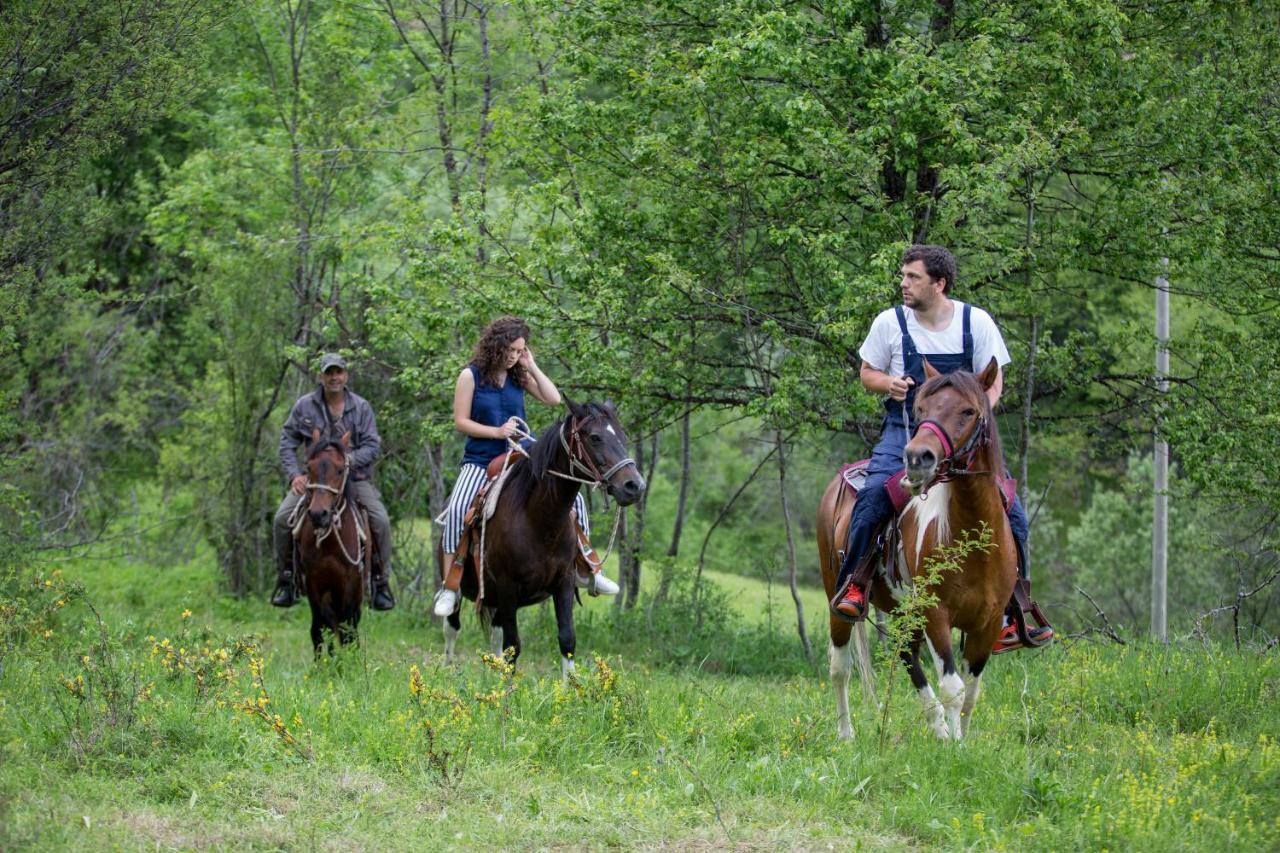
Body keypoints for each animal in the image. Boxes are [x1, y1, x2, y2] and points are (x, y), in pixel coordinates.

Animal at [291, 427, 368, 653]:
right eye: (309, 467)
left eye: (341, 469)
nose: (319, 514)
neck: (330, 542)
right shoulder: (314, 582)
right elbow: (320, 628)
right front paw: (326, 660)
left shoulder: (349, 583)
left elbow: (346, 629)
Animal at [442, 399, 645, 676]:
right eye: (595, 437)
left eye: (622, 436)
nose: (635, 486)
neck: (540, 520)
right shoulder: (507, 586)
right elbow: (513, 645)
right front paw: (508, 687)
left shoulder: (564, 582)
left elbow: (567, 639)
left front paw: (571, 685)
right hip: (465, 590)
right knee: (452, 626)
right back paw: (447, 669)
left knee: (495, 635)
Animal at [819, 356, 1018, 737]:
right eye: (920, 408)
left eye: (968, 411)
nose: (916, 458)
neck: (972, 544)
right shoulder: (936, 615)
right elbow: (953, 689)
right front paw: (955, 746)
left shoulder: (987, 623)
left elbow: (971, 693)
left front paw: (960, 740)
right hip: (836, 595)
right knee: (840, 667)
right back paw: (846, 735)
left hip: (903, 612)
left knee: (908, 658)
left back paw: (937, 730)